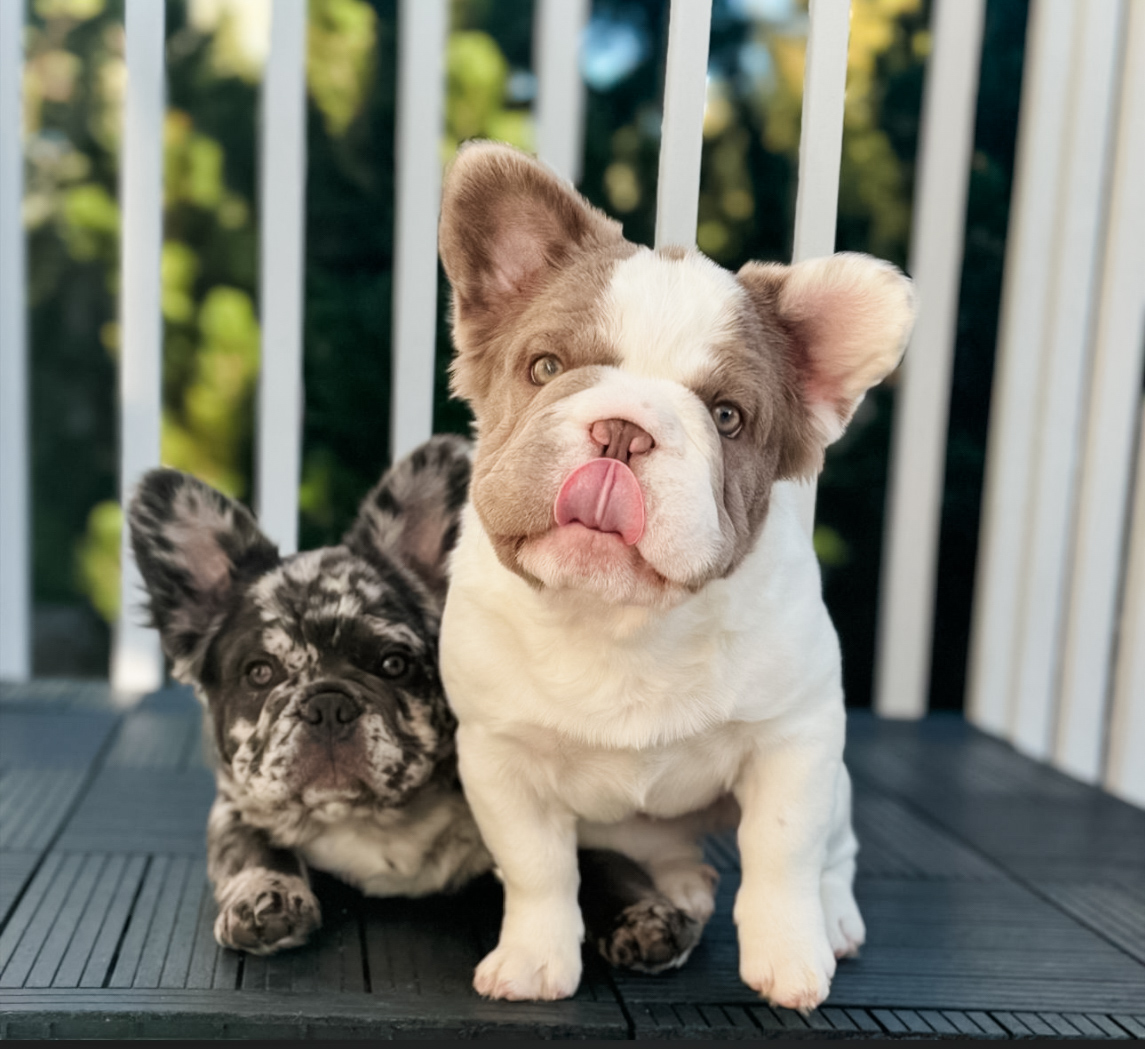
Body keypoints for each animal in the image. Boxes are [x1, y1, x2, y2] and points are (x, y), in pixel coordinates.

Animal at [128, 436, 703, 968]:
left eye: (394, 664)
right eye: (260, 673)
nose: (328, 703)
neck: (371, 819)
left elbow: (603, 862)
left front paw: (643, 915)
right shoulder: (235, 805)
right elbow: (251, 849)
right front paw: (265, 896)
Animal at [436, 142, 916, 1009]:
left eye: (727, 417)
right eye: (545, 367)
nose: (623, 430)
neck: (619, 618)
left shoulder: (794, 740)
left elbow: (781, 852)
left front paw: (789, 954)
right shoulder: (498, 758)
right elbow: (536, 867)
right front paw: (534, 958)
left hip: (836, 783)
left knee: (835, 850)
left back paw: (830, 917)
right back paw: (679, 883)